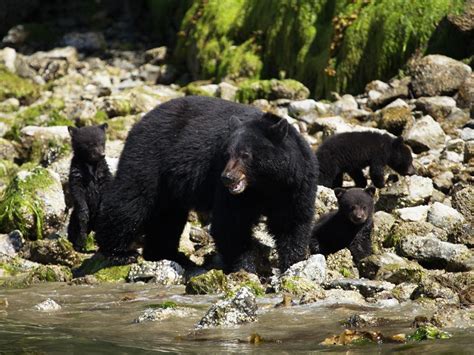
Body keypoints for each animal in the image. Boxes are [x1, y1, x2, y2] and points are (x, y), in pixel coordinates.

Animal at [67, 124, 111, 252]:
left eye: (102, 142)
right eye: (90, 144)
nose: (102, 154)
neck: (91, 165)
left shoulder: (103, 174)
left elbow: (106, 189)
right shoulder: (76, 173)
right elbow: (77, 193)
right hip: (74, 217)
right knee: (75, 228)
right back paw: (78, 245)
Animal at [96, 96, 318, 274]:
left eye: (245, 155)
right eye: (227, 154)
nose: (227, 177)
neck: (266, 183)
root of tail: (141, 120)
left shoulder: (295, 186)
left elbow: (292, 221)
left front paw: (293, 263)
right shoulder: (234, 194)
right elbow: (231, 223)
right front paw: (246, 269)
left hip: (169, 184)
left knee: (167, 217)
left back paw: (168, 255)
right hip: (149, 156)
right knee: (131, 200)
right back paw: (120, 252)